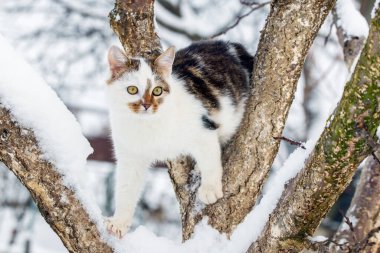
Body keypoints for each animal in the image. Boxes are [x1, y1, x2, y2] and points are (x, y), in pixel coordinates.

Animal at [104, 40, 252, 238]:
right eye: (132, 90)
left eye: (157, 91)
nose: (147, 105)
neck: (147, 126)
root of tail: (232, 45)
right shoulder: (130, 157)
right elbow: (126, 189)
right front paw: (119, 222)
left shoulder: (203, 129)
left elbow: (210, 162)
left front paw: (210, 189)